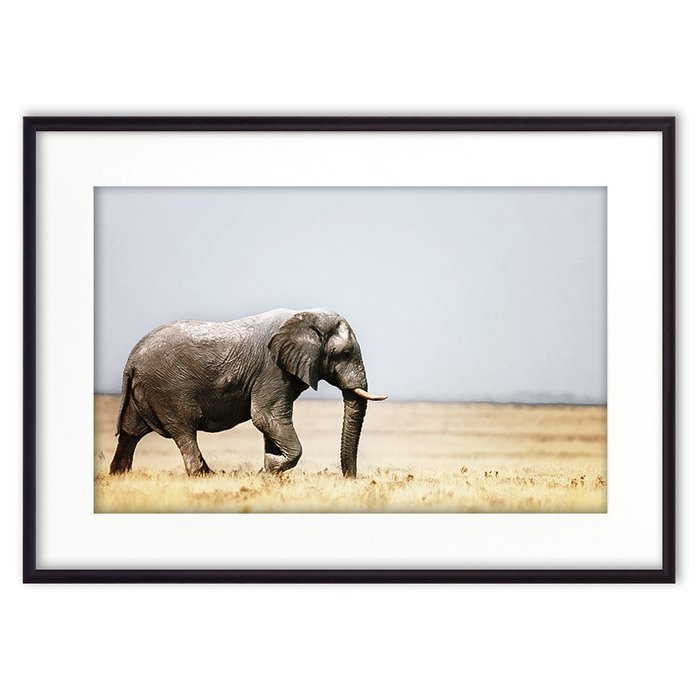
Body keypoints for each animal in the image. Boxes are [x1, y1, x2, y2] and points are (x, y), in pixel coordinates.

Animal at [108, 308, 386, 478]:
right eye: (345, 353)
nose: (349, 479)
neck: (304, 317)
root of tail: (132, 359)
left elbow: (271, 423)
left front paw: (269, 470)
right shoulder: (272, 370)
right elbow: (264, 416)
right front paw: (269, 470)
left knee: (131, 433)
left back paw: (119, 476)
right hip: (169, 388)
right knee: (184, 429)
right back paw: (204, 476)